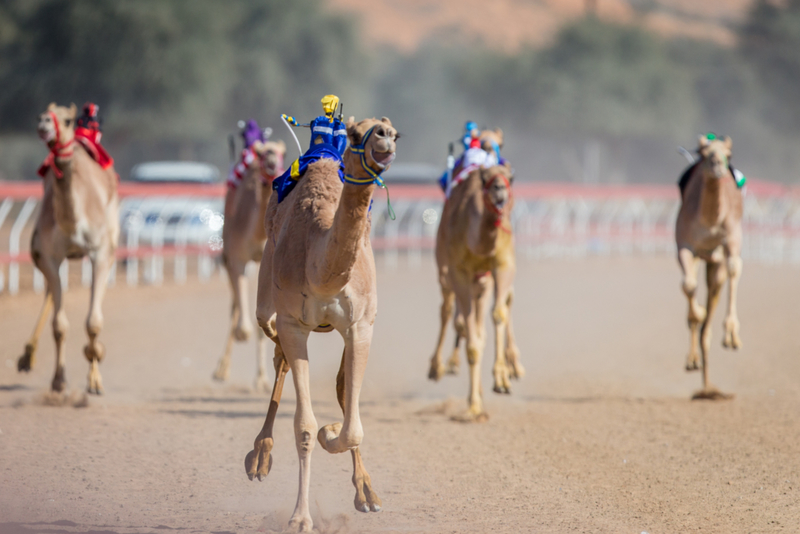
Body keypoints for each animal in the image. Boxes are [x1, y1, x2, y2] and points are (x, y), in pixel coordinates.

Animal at [16, 104, 119, 396]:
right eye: (40, 115)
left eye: (68, 120)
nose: (43, 124)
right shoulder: (48, 255)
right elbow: (59, 326)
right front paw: (58, 380)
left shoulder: (101, 253)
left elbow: (93, 322)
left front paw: (95, 377)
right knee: (51, 294)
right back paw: (27, 357)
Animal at [212, 138, 288, 392]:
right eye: (264, 154)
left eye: (282, 153)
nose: (273, 163)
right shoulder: (236, 258)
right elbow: (244, 321)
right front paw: (241, 334)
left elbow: (262, 322)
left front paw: (262, 380)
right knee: (235, 307)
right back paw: (221, 371)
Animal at [242, 117, 396, 532]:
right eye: (358, 134)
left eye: (392, 131)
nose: (385, 140)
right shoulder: (293, 323)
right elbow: (304, 426)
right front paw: (299, 517)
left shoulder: (361, 325)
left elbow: (351, 418)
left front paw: (335, 437)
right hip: (266, 301)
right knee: (276, 351)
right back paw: (258, 457)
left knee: (340, 387)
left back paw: (367, 492)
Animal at [424, 130, 524, 414]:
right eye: (485, 178)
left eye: (511, 176)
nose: (500, 190)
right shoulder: (459, 271)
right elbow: (471, 335)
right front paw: (474, 405)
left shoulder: (501, 266)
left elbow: (497, 315)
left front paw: (501, 378)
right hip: (444, 269)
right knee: (448, 310)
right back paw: (437, 368)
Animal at [676, 136, 744, 400]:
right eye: (703, 153)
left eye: (729, 153)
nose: (717, 165)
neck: (710, 221)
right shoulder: (685, 243)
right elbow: (688, 285)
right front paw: (698, 312)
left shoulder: (731, 237)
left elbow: (735, 266)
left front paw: (732, 335)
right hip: (701, 257)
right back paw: (696, 365)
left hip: (716, 263)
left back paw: (708, 385)